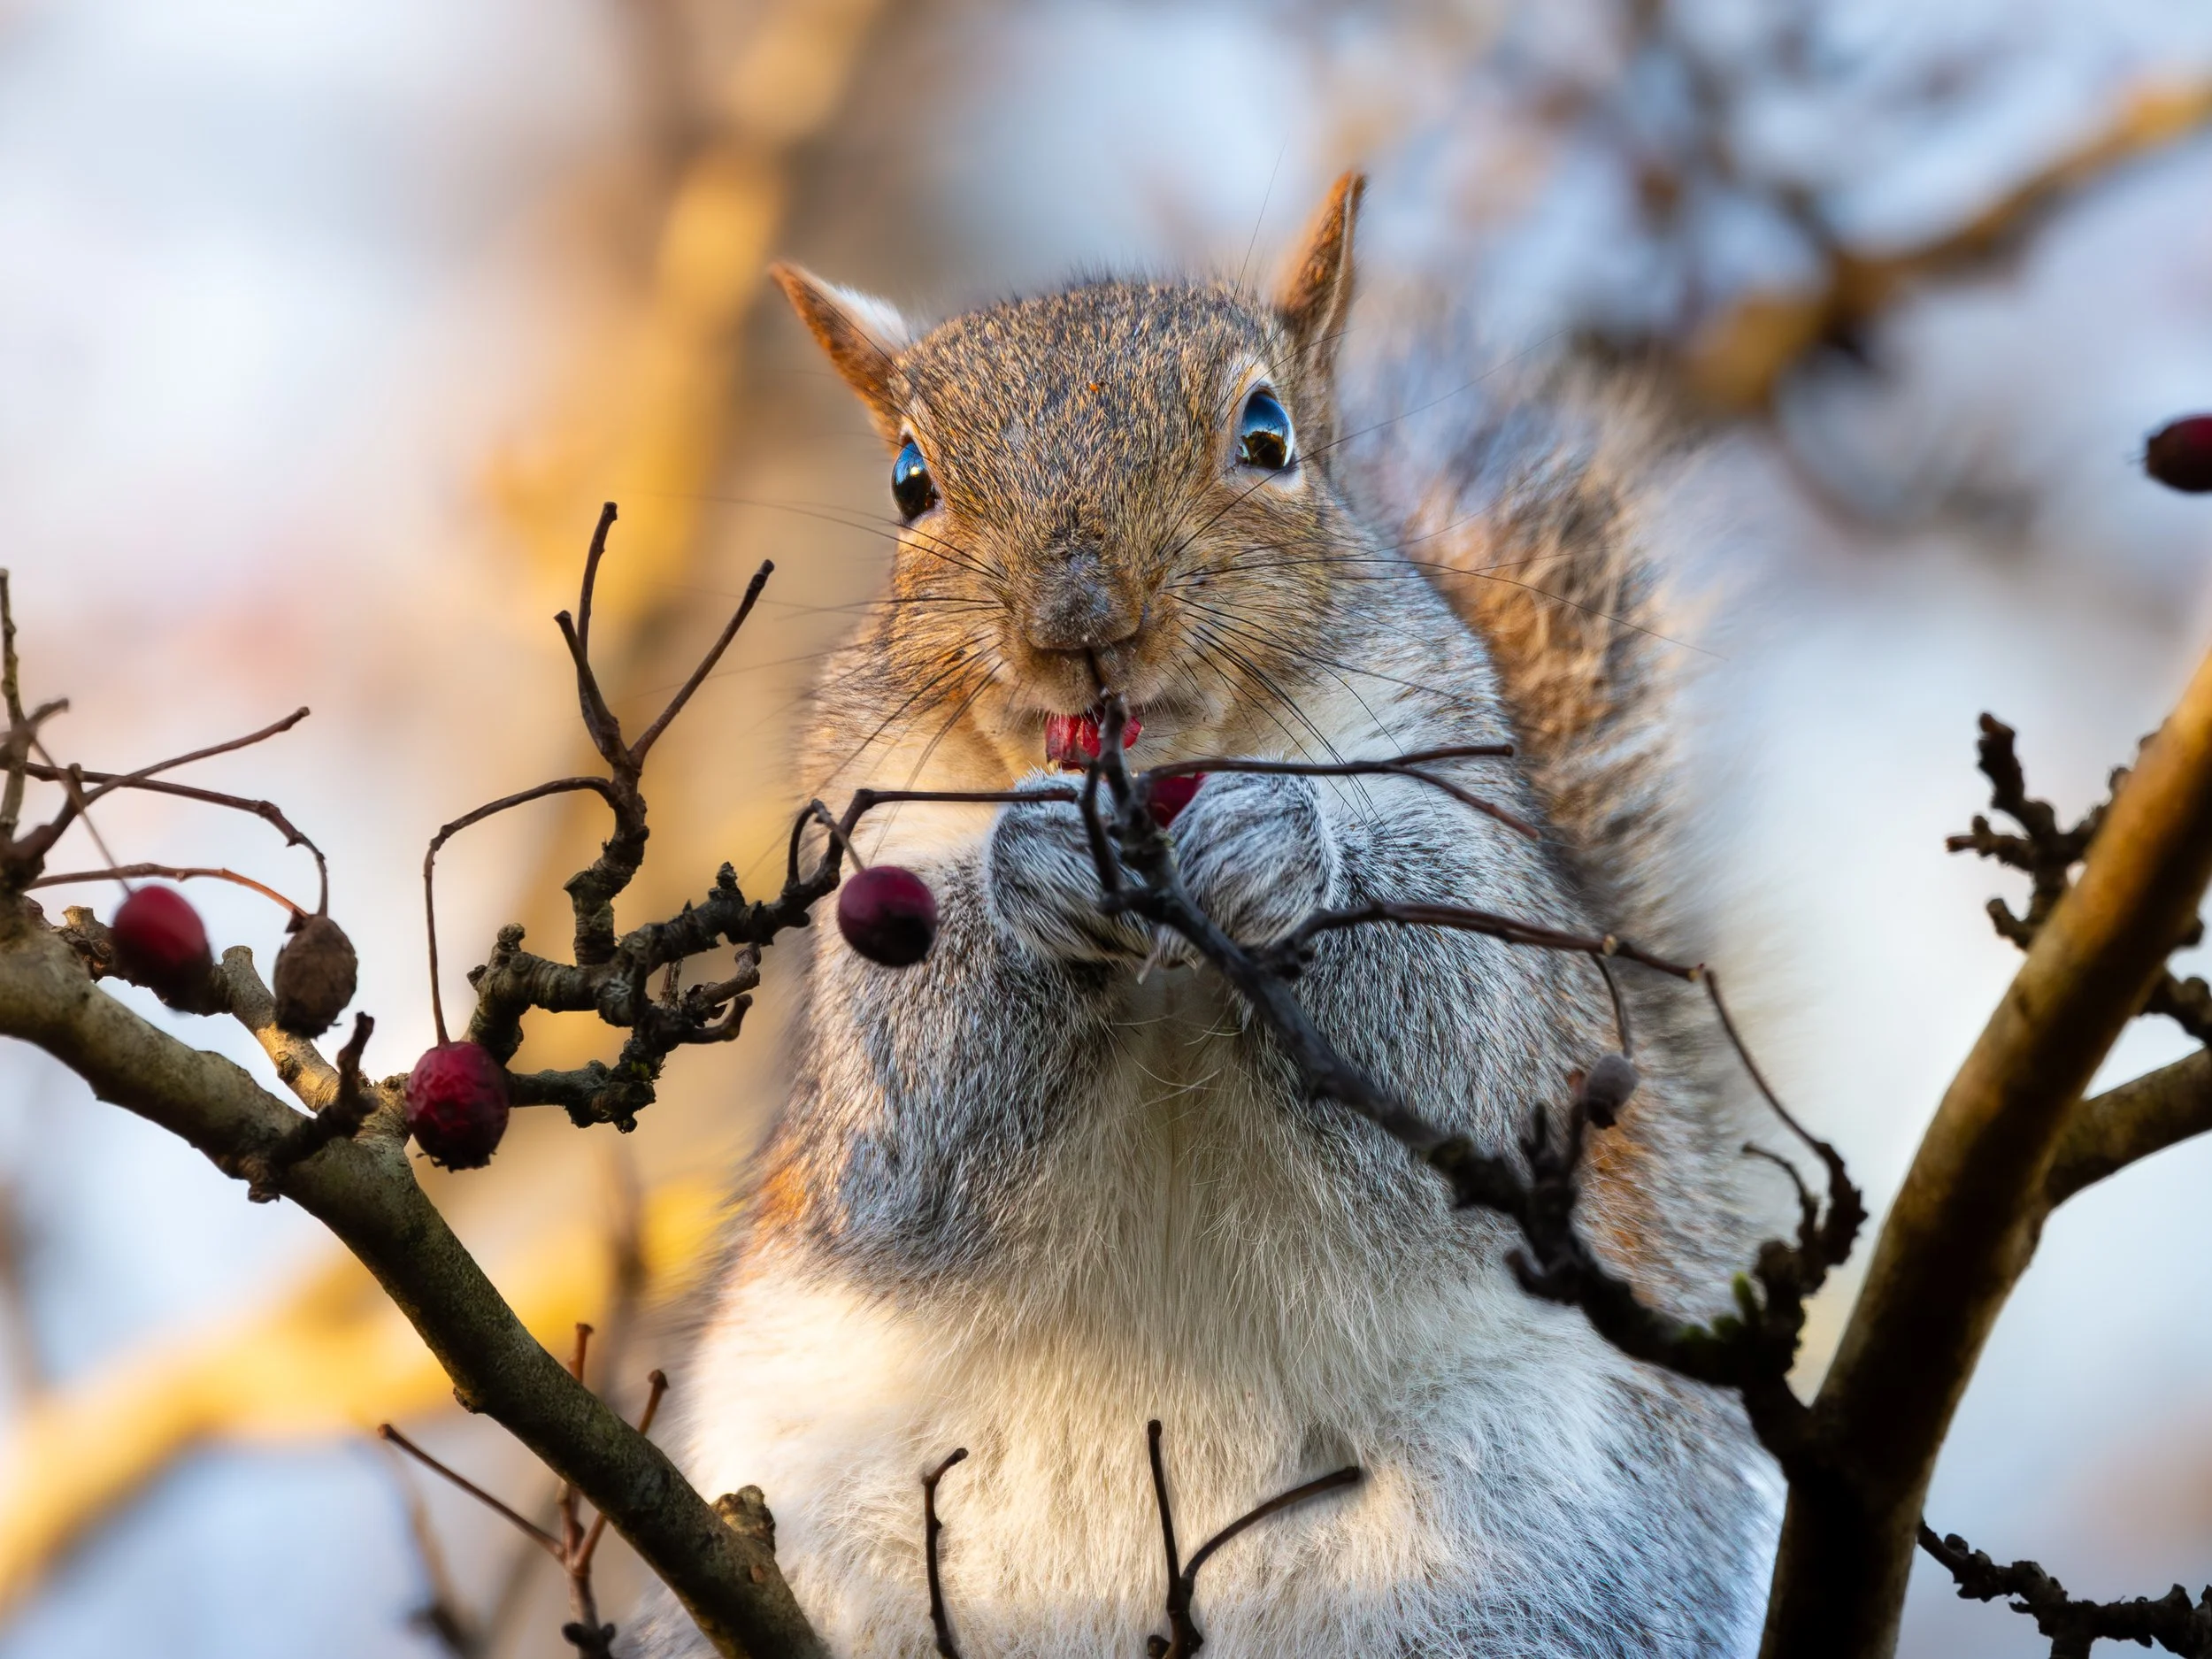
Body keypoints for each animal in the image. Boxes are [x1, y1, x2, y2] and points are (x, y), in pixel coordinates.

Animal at [638, 173, 1776, 1657]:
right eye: (908, 481)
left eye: (1268, 434)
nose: (1080, 617)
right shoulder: (861, 893)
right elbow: (904, 1159)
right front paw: (1031, 874)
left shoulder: (1481, 871)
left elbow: (1465, 1057)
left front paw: (1280, 845)